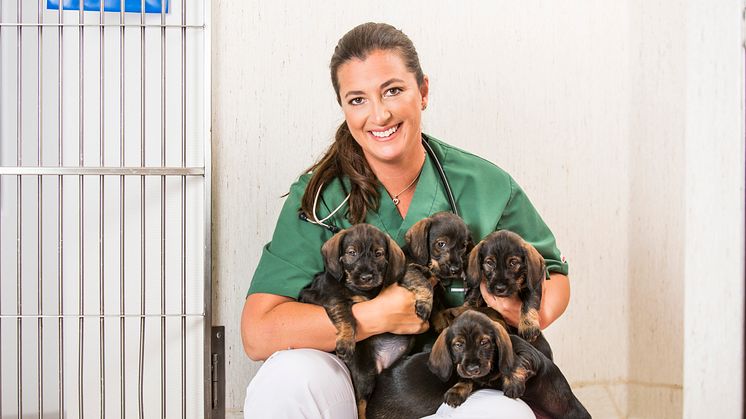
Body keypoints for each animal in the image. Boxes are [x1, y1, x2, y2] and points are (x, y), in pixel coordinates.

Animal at [300, 225, 434, 419]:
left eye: (378, 254)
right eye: (352, 252)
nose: (366, 277)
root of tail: (381, 365)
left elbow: (416, 276)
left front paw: (425, 300)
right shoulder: (332, 298)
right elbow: (345, 316)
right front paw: (346, 341)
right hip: (363, 375)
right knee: (361, 404)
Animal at [428, 310, 588, 419]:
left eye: (484, 342)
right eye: (458, 345)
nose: (473, 369)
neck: (492, 367)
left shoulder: (529, 354)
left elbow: (515, 363)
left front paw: (512, 383)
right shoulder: (478, 378)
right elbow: (467, 380)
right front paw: (456, 391)